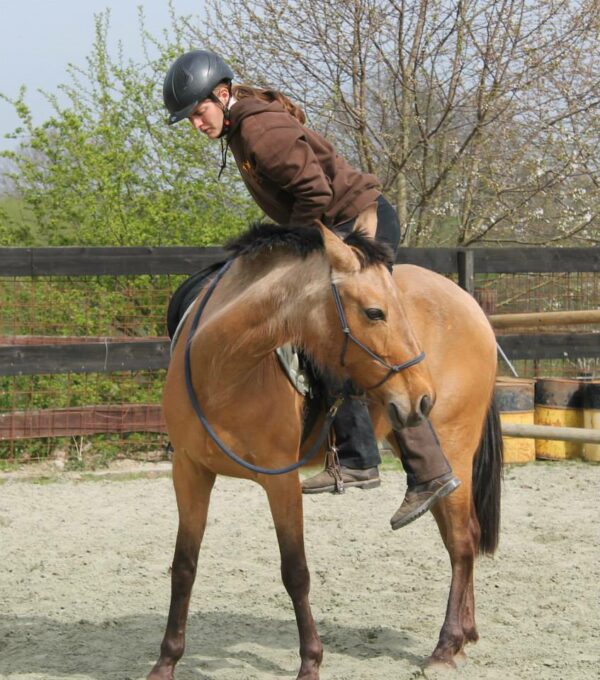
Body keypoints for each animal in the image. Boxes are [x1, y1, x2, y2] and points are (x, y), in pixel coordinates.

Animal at [149, 223, 502, 680]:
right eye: (374, 313)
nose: (423, 398)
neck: (223, 369)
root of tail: (471, 306)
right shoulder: (189, 472)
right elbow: (184, 567)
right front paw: (166, 660)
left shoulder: (281, 481)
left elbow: (295, 571)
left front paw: (311, 662)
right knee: (460, 537)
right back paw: (465, 635)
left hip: (452, 442)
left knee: (461, 540)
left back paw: (446, 645)